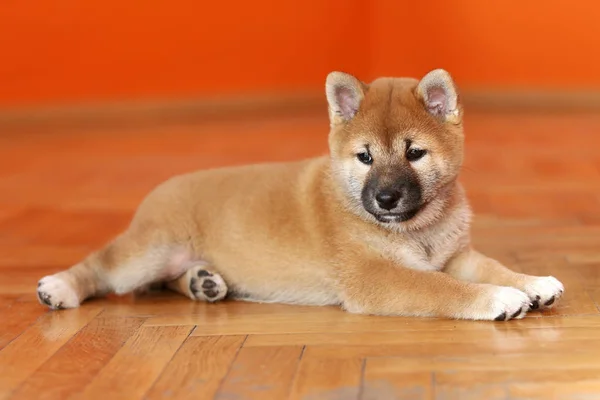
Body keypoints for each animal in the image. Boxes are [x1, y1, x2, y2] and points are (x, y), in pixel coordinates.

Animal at [36, 68, 564, 318]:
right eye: (364, 158)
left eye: (414, 153)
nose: (386, 199)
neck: (419, 229)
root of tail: (160, 190)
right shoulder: (376, 277)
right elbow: (444, 289)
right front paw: (498, 298)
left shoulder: (456, 256)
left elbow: (492, 266)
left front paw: (531, 282)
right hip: (147, 252)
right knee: (101, 267)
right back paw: (59, 287)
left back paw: (202, 283)